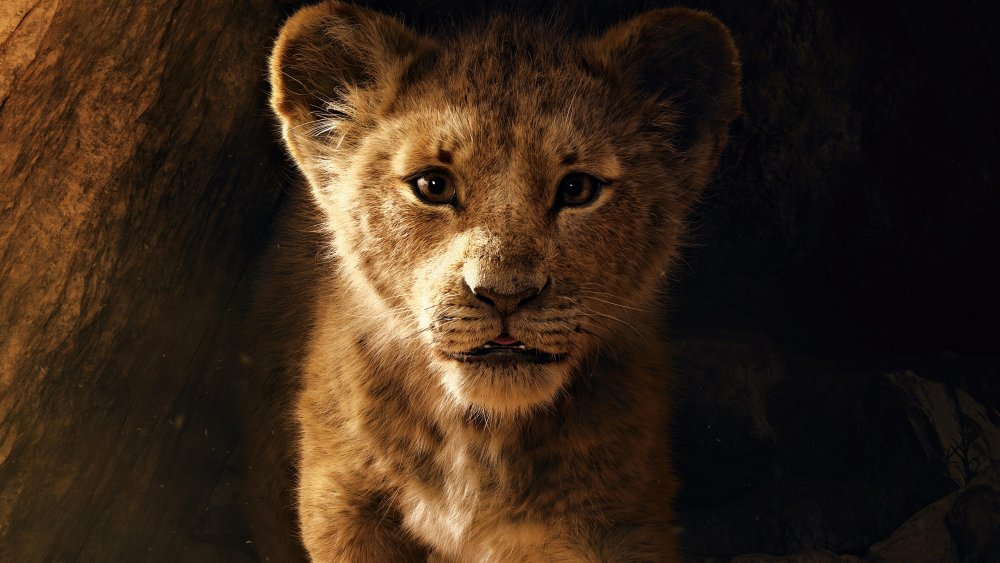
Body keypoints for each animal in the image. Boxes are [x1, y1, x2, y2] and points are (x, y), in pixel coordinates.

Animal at [241, 1, 740, 560]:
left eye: (578, 189)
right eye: (433, 185)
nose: (505, 295)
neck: (479, 442)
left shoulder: (620, 520)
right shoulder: (343, 504)